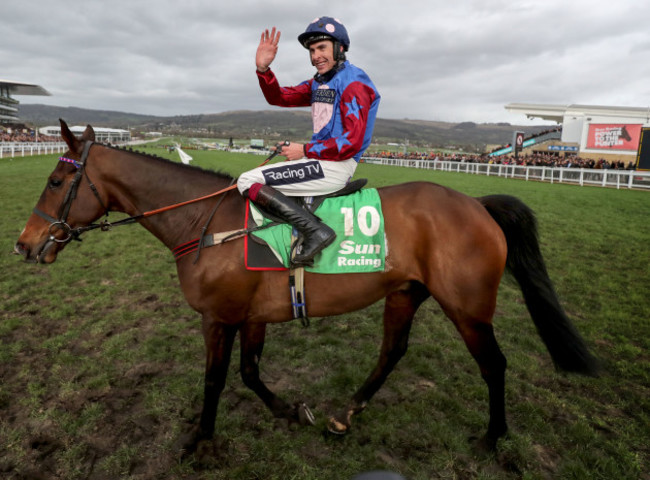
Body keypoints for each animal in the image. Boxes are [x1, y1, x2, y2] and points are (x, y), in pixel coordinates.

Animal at [12, 121, 596, 458]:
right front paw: (291, 411)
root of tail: (477, 204)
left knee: (493, 364)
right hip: (405, 292)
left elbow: (215, 380)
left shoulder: (219, 317)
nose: (24, 244)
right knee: (392, 351)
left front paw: (198, 439)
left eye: (57, 182)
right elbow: (249, 374)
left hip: (468, 308)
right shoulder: (250, 317)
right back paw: (347, 413)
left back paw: (493, 438)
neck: (207, 222)